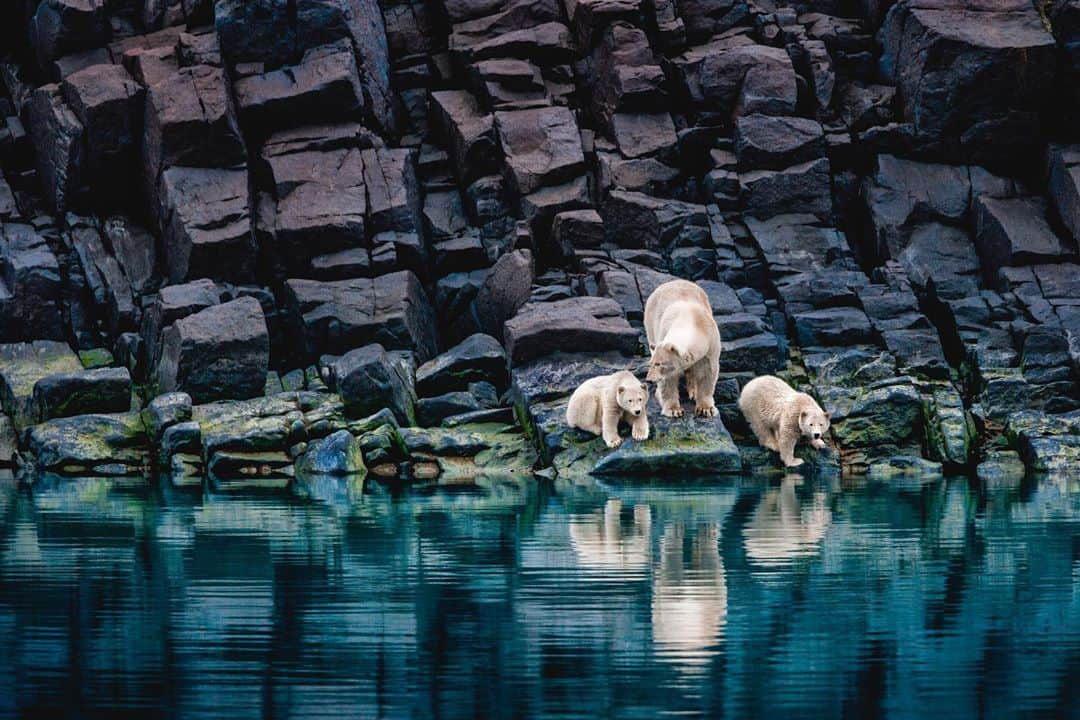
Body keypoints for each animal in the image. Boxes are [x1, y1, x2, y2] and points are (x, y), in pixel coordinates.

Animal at [643, 280, 721, 418]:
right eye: (652, 363)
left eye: (659, 364)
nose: (649, 380)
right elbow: (668, 379)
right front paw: (674, 409)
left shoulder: (711, 344)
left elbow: (708, 372)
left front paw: (706, 408)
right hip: (650, 324)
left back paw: (693, 391)